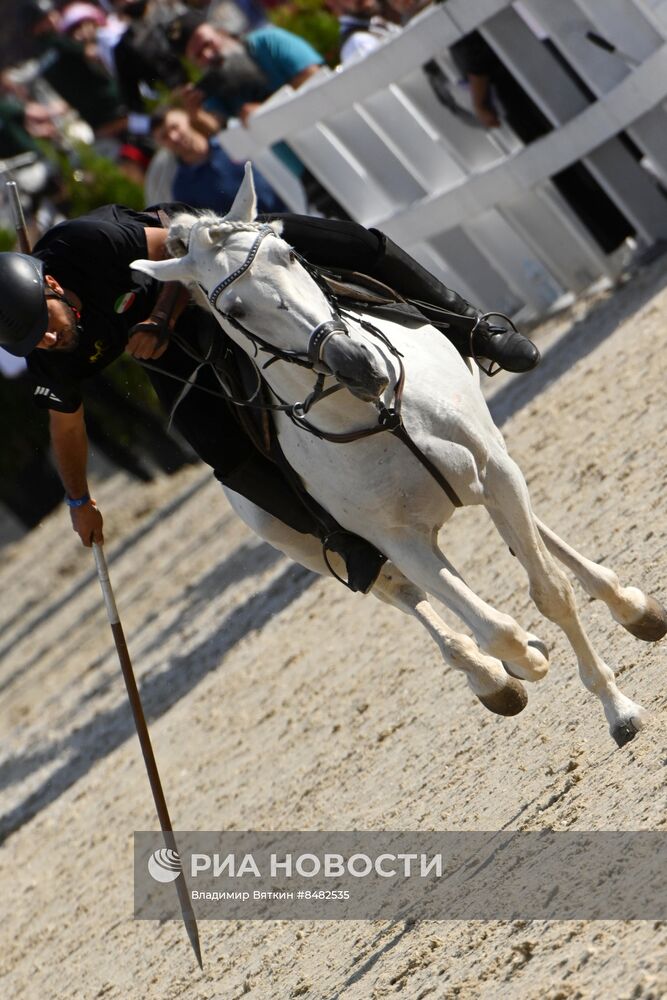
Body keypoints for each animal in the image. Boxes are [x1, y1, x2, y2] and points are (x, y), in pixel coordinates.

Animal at [132, 164, 667, 748]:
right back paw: (493, 678)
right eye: (233, 309)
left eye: (289, 255)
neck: (378, 413)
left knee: (530, 537)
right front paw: (526, 659)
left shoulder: (495, 474)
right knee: (412, 599)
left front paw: (618, 709)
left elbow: (551, 589)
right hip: (330, 549)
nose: (356, 364)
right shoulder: (396, 540)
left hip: (486, 469)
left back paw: (628, 605)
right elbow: (493, 629)